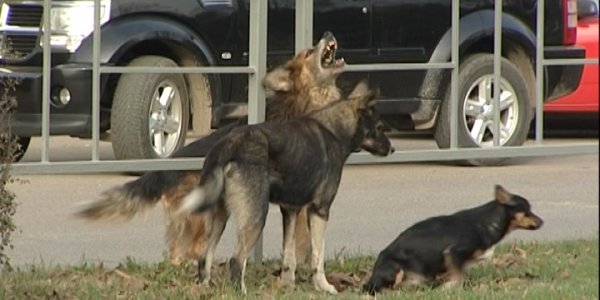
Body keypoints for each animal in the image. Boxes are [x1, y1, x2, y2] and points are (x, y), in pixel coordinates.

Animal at [77, 31, 344, 264]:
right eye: (309, 52)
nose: (328, 33)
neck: (308, 100)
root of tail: (164, 169)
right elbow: (302, 241)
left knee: (177, 251)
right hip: (202, 213)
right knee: (190, 250)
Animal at [176, 85, 396, 294]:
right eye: (378, 127)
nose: (392, 149)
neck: (334, 131)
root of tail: (230, 144)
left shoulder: (290, 210)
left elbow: (289, 258)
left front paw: (287, 286)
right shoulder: (319, 210)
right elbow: (318, 258)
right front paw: (323, 286)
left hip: (220, 217)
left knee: (205, 256)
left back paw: (204, 288)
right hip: (256, 217)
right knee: (236, 260)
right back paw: (242, 291)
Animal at [360, 185, 544, 296]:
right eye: (527, 210)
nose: (542, 222)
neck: (488, 221)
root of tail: (373, 277)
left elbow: (462, 275)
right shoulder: (454, 252)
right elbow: (460, 277)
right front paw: (448, 288)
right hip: (396, 269)